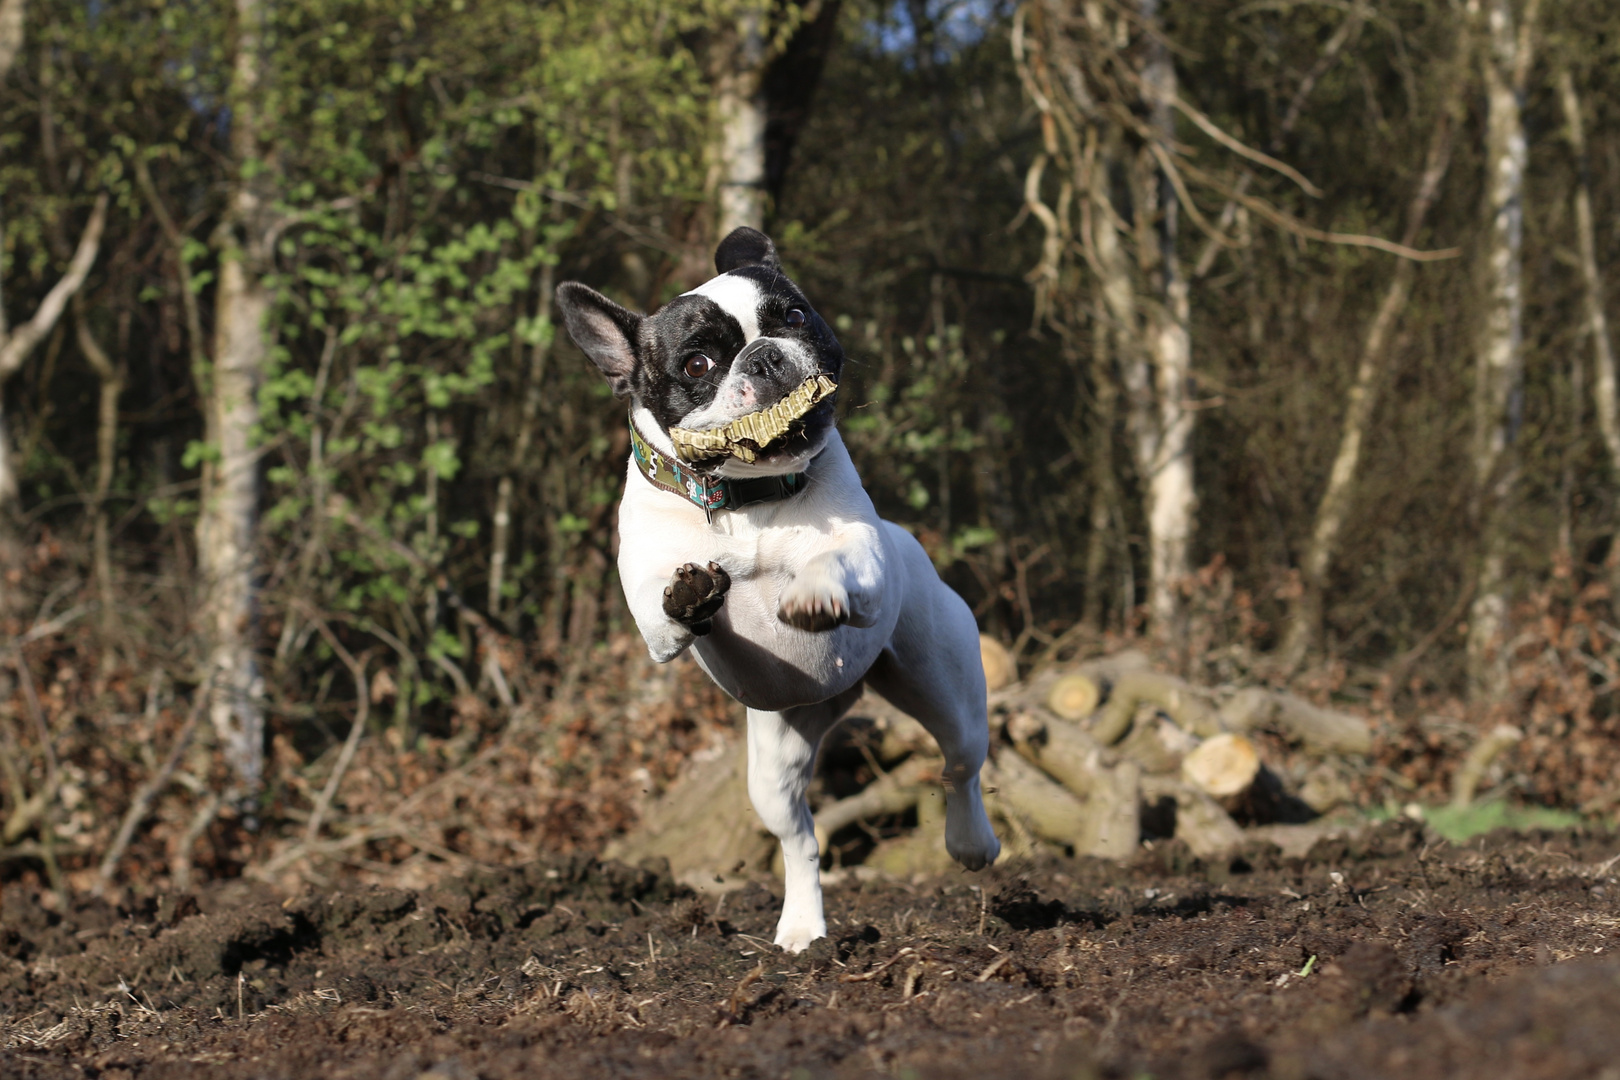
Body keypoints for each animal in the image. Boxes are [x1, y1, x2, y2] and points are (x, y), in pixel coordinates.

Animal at [554, 229, 997, 952]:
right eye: (697, 363)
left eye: (793, 315)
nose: (765, 355)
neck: (745, 495)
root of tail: (840, 697)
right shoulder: (646, 598)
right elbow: (657, 606)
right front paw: (689, 595)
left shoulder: (863, 552)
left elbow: (838, 559)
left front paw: (812, 594)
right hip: (772, 766)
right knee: (802, 843)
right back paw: (802, 928)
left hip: (945, 685)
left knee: (960, 766)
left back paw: (971, 844)